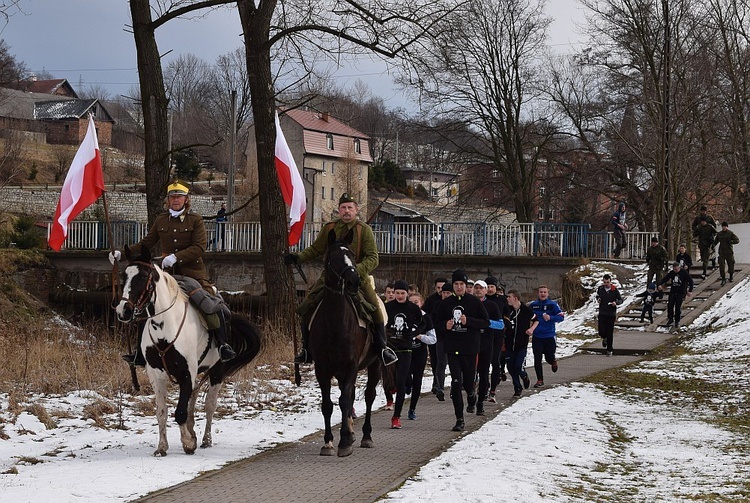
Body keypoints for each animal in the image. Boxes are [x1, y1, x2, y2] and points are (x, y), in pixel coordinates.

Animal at [113, 246, 262, 458]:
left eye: (142, 276)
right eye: (124, 275)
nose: (123, 311)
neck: (165, 326)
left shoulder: (186, 372)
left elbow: (180, 411)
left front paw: (188, 443)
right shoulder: (156, 375)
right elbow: (162, 412)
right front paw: (162, 447)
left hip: (216, 372)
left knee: (209, 405)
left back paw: (206, 439)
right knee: (193, 398)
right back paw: (192, 430)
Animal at [310, 230, 382, 458]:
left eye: (351, 254)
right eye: (333, 257)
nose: (353, 281)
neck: (335, 323)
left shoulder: (351, 365)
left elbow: (343, 401)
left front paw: (344, 442)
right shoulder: (322, 369)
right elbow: (328, 404)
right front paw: (328, 442)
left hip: (375, 365)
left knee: (368, 396)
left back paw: (366, 436)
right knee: (348, 396)